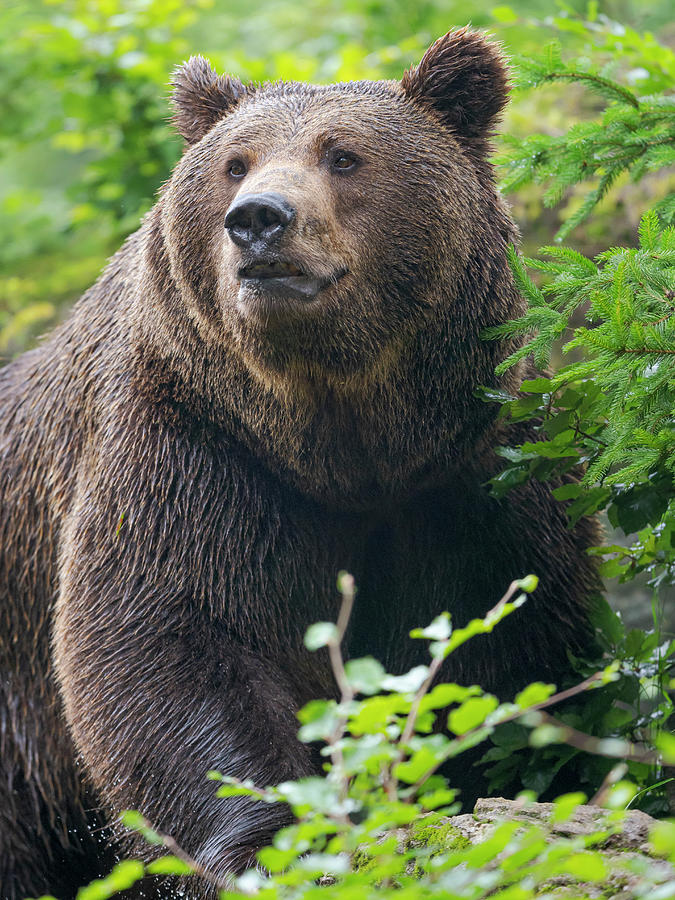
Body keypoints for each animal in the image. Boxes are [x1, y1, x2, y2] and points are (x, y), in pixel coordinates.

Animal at [2, 28, 600, 900]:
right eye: (234, 162)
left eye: (343, 155)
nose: (257, 221)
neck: (341, 442)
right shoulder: (194, 449)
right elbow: (172, 641)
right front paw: (263, 841)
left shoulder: (473, 478)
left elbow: (506, 645)